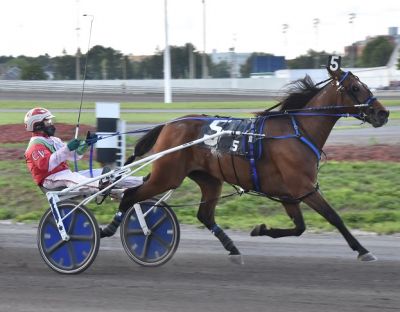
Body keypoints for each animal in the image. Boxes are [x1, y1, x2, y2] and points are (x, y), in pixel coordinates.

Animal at [101, 62, 390, 262]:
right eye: (355, 88)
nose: (383, 113)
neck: (298, 129)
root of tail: (170, 124)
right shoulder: (304, 187)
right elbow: (334, 217)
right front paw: (363, 250)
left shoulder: (290, 194)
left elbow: (300, 227)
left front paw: (260, 229)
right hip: (167, 175)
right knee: (130, 195)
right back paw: (108, 230)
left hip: (208, 179)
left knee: (204, 214)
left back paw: (233, 248)